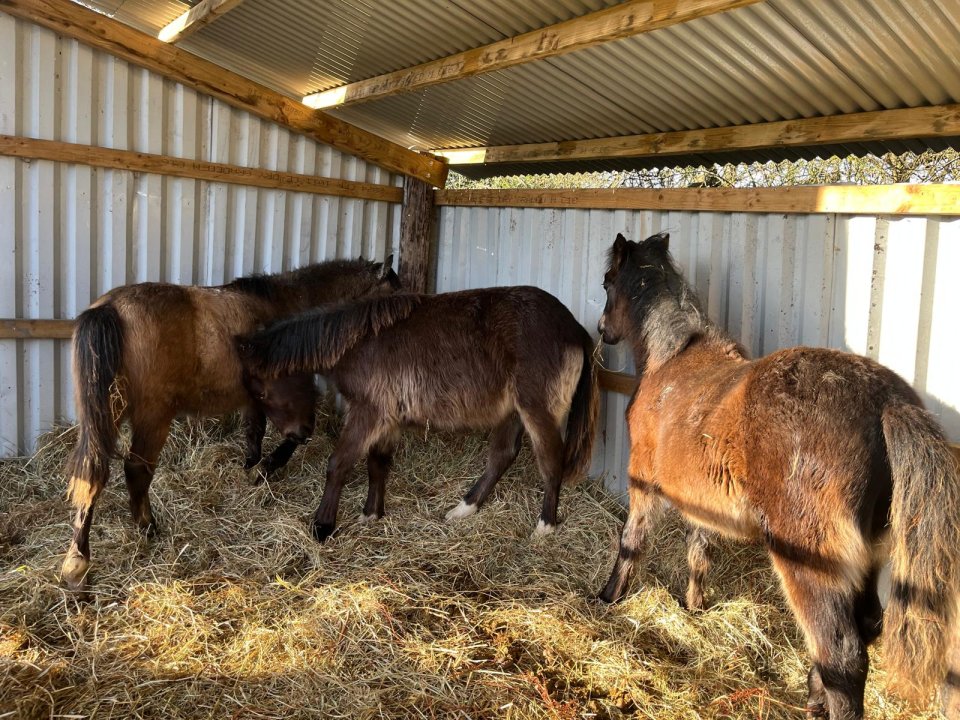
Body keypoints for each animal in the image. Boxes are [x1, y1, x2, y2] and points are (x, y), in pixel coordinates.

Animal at [61, 256, 400, 593]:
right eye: (393, 297)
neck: (288, 303)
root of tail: (111, 309)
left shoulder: (254, 399)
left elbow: (255, 433)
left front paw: (252, 467)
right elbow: (295, 435)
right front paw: (264, 470)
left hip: (105, 414)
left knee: (90, 473)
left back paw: (77, 561)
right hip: (152, 417)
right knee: (136, 470)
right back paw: (146, 529)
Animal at [236, 286, 599, 543]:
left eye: (261, 392)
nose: (298, 435)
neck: (358, 342)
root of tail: (575, 329)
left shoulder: (369, 412)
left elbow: (338, 464)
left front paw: (323, 526)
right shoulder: (387, 420)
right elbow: (377, 464)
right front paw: (371, 515)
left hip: (538, 412)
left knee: (550, 462)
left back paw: (544, 527)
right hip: (511, 412)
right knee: (502, 456)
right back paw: (462, 510)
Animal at [596, 231, 960, 720]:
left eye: (608, 281)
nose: (603, 329)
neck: (671, 361)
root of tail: (887, 403)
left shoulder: (642, 481)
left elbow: (631, 542)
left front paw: (609, 596)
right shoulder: (701, 500)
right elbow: (699, 552)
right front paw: (694, 607)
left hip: (809, 559)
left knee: (842, 652)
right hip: (867, 558)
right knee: (863, 627)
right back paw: (813, 696)